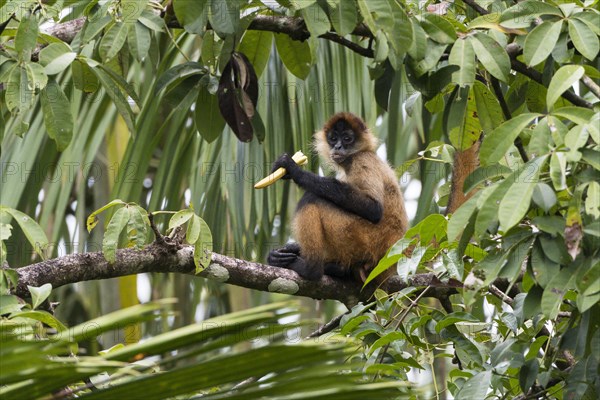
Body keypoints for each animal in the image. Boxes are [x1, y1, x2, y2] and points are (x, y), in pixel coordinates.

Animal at [270, 114, 410, 286]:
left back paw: (312, 269)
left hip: (362, 236)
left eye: (347, 138)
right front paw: (286, 250)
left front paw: (294, 170)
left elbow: (374, 209)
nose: (337, 146)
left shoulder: (363, 159)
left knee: (311, 198)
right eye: (333, 138)